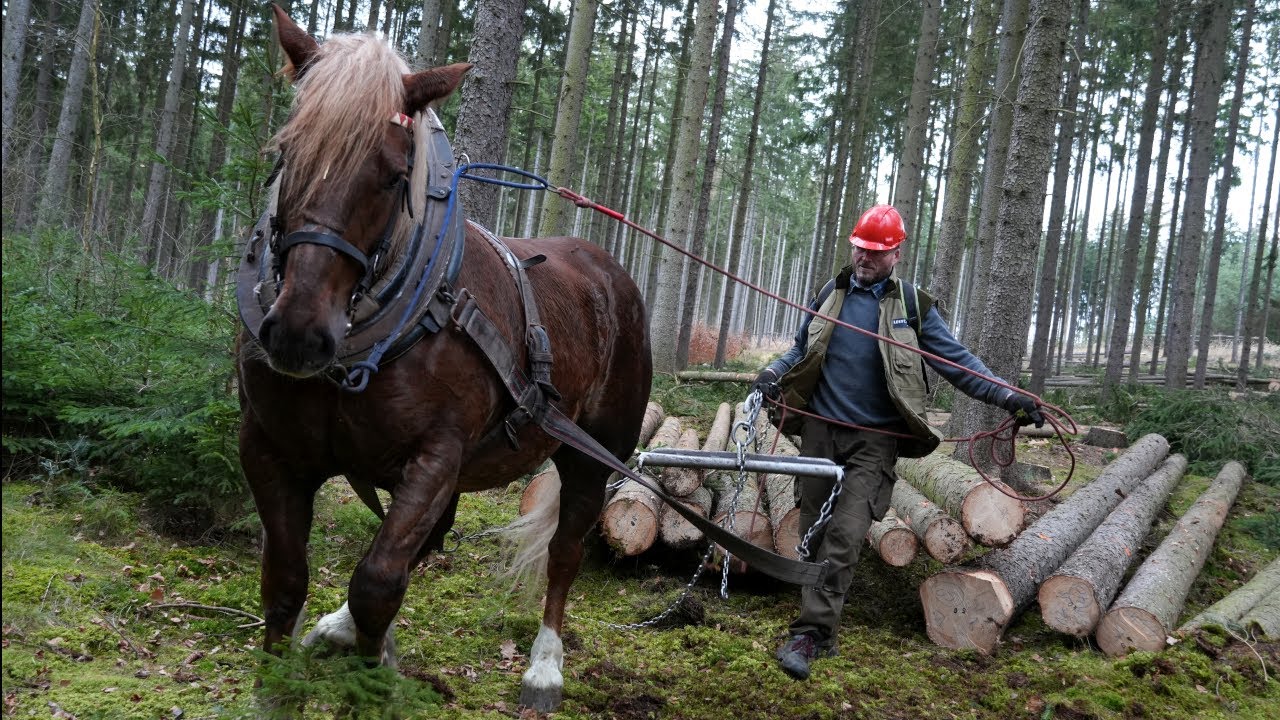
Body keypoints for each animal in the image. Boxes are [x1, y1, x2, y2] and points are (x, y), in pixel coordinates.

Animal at [236, 6, 652, 711]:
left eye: (393, 176)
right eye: (286, 154)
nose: (297, 336)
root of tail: (606, 267)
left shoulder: (435, 455)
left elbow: (377, 581)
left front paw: (372, 684)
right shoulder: (269, 448)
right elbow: (286, 578)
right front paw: (278, 689)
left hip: (594, 454)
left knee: (566, 550)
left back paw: (544, 667)